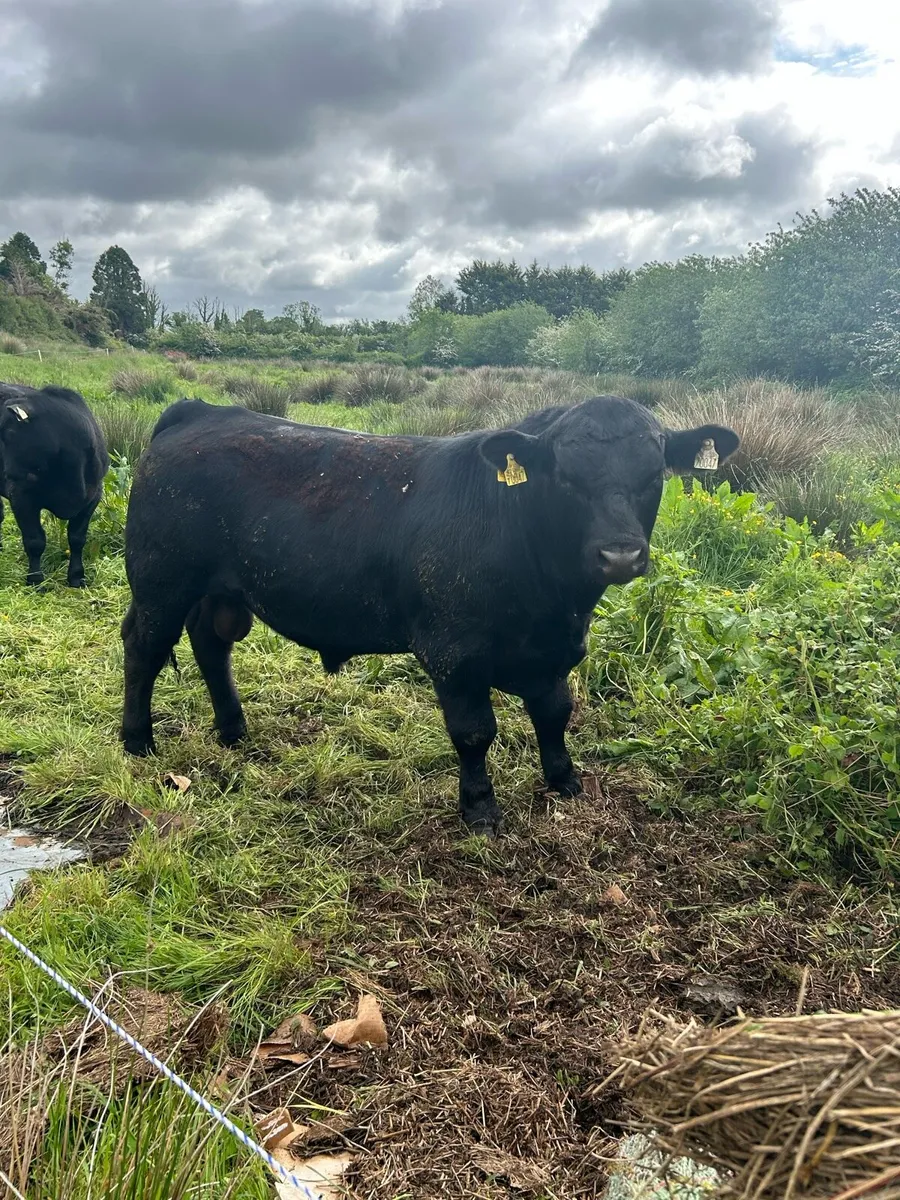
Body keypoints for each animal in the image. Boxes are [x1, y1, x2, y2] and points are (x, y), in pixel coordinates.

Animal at [0, 384, 110, 588]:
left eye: (9, 434)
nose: (7, 474)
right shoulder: (22, 497)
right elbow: (35, 541)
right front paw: (35, 579)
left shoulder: (93, 495)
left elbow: (77, 538)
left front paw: (77, 576)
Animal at [120, 395, 739, 835]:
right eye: (566, 476)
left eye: (654, 475)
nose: (620, 554)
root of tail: (201, 412)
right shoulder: (454, 652)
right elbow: (474, 732)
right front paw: (480, 809)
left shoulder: (556, 649)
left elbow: (555, 712)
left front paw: (564, 779)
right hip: (160, 582)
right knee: (143, 648)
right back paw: (137, 742)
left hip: (218, 591)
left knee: (210, 642)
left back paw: (233, 729)